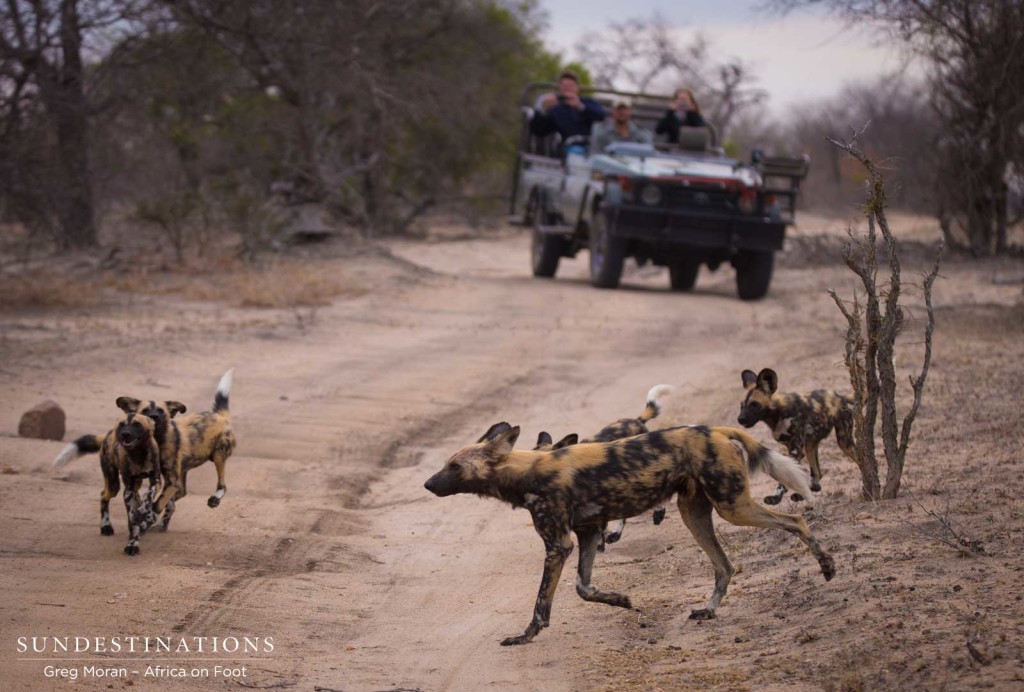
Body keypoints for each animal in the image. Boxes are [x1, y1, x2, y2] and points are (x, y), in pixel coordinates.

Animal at [53, 413, 168, 552]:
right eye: (122, 425)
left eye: (137, 424)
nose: (125, 434)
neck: (137, 455)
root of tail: (109, 433)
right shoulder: (128, 490)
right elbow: (132, 520)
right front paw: (132, 543)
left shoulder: (155, 481)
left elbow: (148, 496)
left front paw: (142, 512)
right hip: (113, 485)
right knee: (103, 496)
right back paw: (106, 525)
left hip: (134, 484)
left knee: (137, 497)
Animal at [423, 423, 831, 646]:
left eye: (454, 466)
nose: (427, 484)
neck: (527, 471)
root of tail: (714, 429)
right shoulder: (587, 535)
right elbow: (583, 588)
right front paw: (622, 601)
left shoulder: (559, 545)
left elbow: (541, 605)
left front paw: (524, 637)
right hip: (695, 514)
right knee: (725, 566)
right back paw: (709, 610)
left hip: (734, 508)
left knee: (797, 522)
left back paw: (828, 566)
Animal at [737, 368, 856, 503]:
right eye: (741, 405)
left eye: (754, 404)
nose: (740, 419)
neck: (777, 414)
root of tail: (840, 396)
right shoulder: (792, 448)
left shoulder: (795, 450)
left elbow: (785, 477)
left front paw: (776, 497)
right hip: (810, 445)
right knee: (817, 474)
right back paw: (806, 491)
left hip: (844, 442)